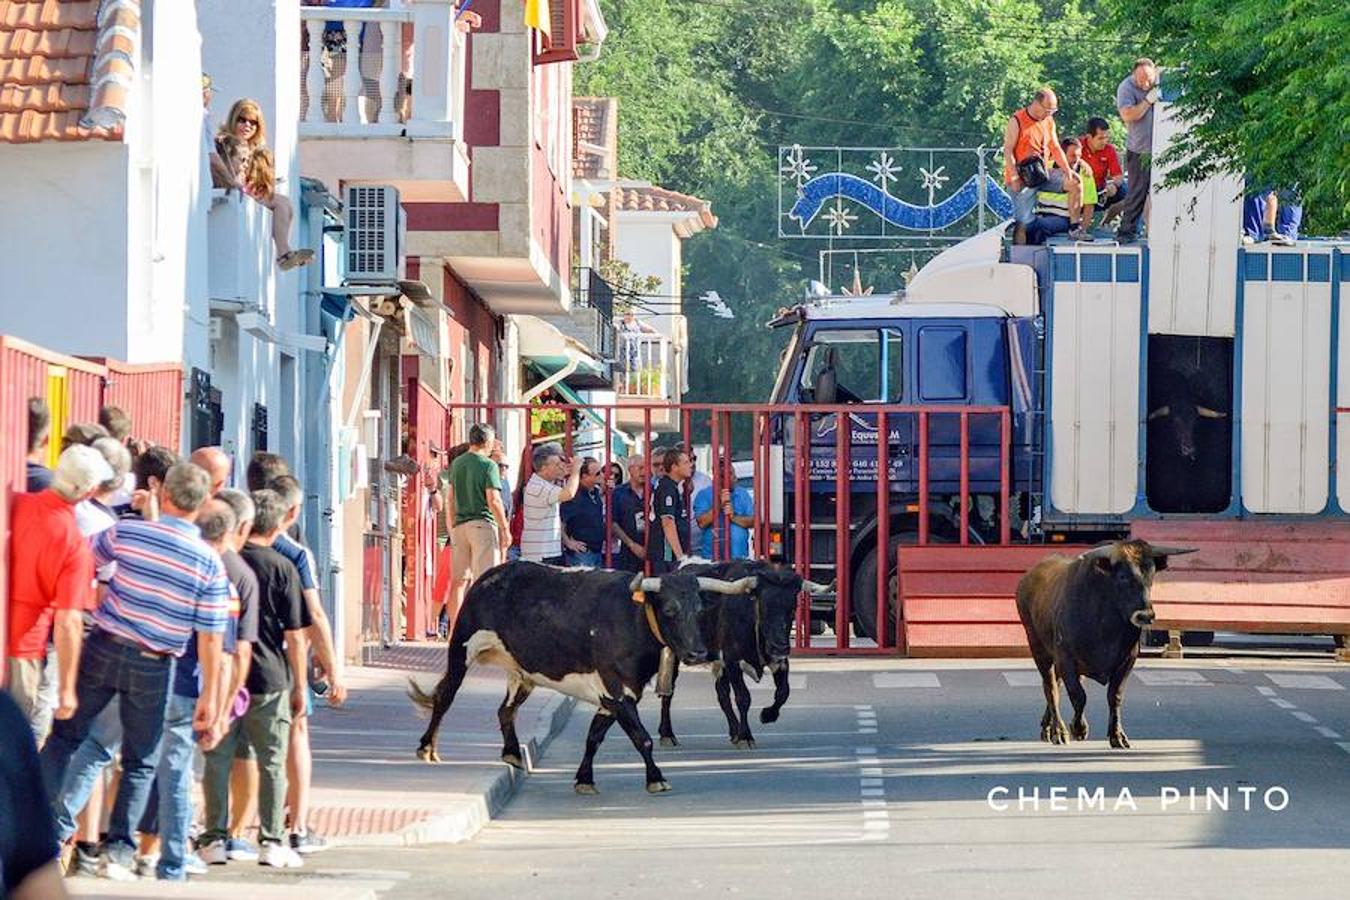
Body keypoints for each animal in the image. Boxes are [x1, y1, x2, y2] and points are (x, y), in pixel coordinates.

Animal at [405, 566, 756, 793]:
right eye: (669, 609)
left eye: (699, 609)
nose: (698, 653)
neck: (634, 619)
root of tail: (492, 575)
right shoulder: (617, 691)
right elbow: (641, 737)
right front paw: (656, 778)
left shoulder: (613, 696)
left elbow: (594, 736)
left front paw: (584, 779)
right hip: (462, 646)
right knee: (445, 696)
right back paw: (427, 747)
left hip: (523, 673)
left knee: (505, 710)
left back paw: (512, 753)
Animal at [1015, 539, 1198, 750]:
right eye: (1122, 576)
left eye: (1151, 574)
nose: (1145, 615)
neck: (1105, 626)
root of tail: (1027, 580)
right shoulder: (1065, 657)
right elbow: (1078, 695)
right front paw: (1078, 728)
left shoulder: (1127, 659)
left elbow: (1114, 696)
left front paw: (1117, 735)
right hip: (1038, 648)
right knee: (1050, 687)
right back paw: (1057, 731)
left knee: (1057, 685)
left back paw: (1047, 727)